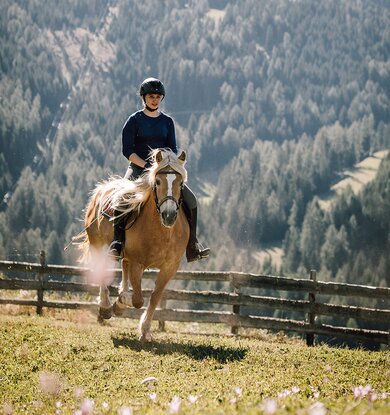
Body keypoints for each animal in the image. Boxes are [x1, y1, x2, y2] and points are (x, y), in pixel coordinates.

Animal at [79, 150, 189, 342]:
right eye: (157, 181)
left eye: (181, 182)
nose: (169, 215)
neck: (163, 232)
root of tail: (101, 188)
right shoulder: (138, 263)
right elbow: (138, 300)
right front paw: (120, 304)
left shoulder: (170, 267)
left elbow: (155, 297)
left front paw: (145, 330)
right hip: (97, 244)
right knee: (102, 271)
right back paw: (106, 306)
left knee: (124, 265)